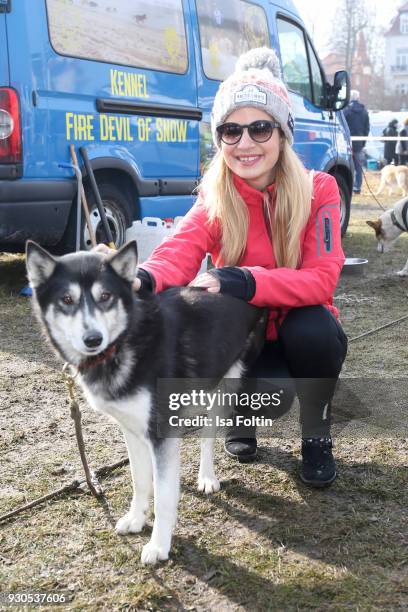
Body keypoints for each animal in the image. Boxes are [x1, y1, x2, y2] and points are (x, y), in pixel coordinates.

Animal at [27, 241, 266, 568]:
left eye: (106, 296)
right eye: (66, 299)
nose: (93, 339)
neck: (125, 341)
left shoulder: (160, 434)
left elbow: (164, 497)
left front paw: (159, 545)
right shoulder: (132, 429)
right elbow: (140, 480)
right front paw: (136, 519)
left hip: (225, 386)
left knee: (208, 436)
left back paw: (206, 477)